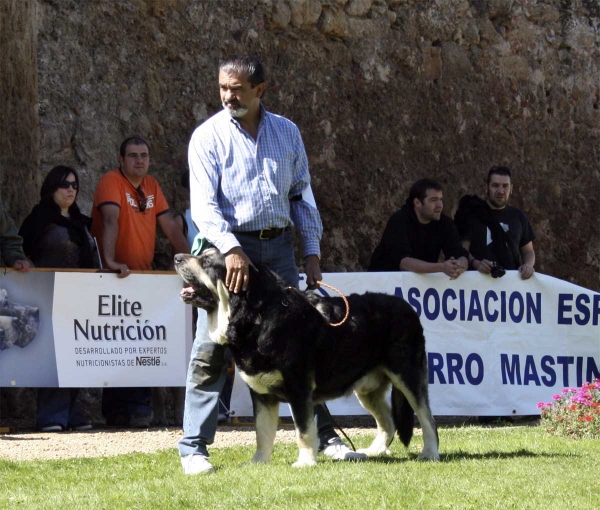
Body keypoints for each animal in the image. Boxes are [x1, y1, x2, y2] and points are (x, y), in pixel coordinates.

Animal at [176, 248, 438, 466]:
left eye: (207, 261)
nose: (177, 258)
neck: (258, 318)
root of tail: (408, 308)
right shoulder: (261, 395)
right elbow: (262, 433)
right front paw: (258, 463)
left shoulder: (298, 388)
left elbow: (303, 431)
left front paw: (305, 462)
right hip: (367, 389)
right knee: (388, 422)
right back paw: (374, 451)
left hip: (408, 376)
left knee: (427, 419)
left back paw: (430, 453)